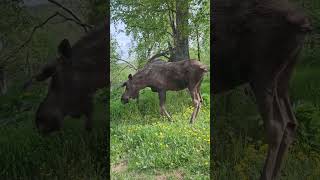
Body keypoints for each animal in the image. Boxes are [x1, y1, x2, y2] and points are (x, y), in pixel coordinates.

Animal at [214, 0, 312, 180]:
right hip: (283, 78)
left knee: (276, 126)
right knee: (290, 122)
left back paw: (265, 175)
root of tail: (304, 23)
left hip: (262, 73)